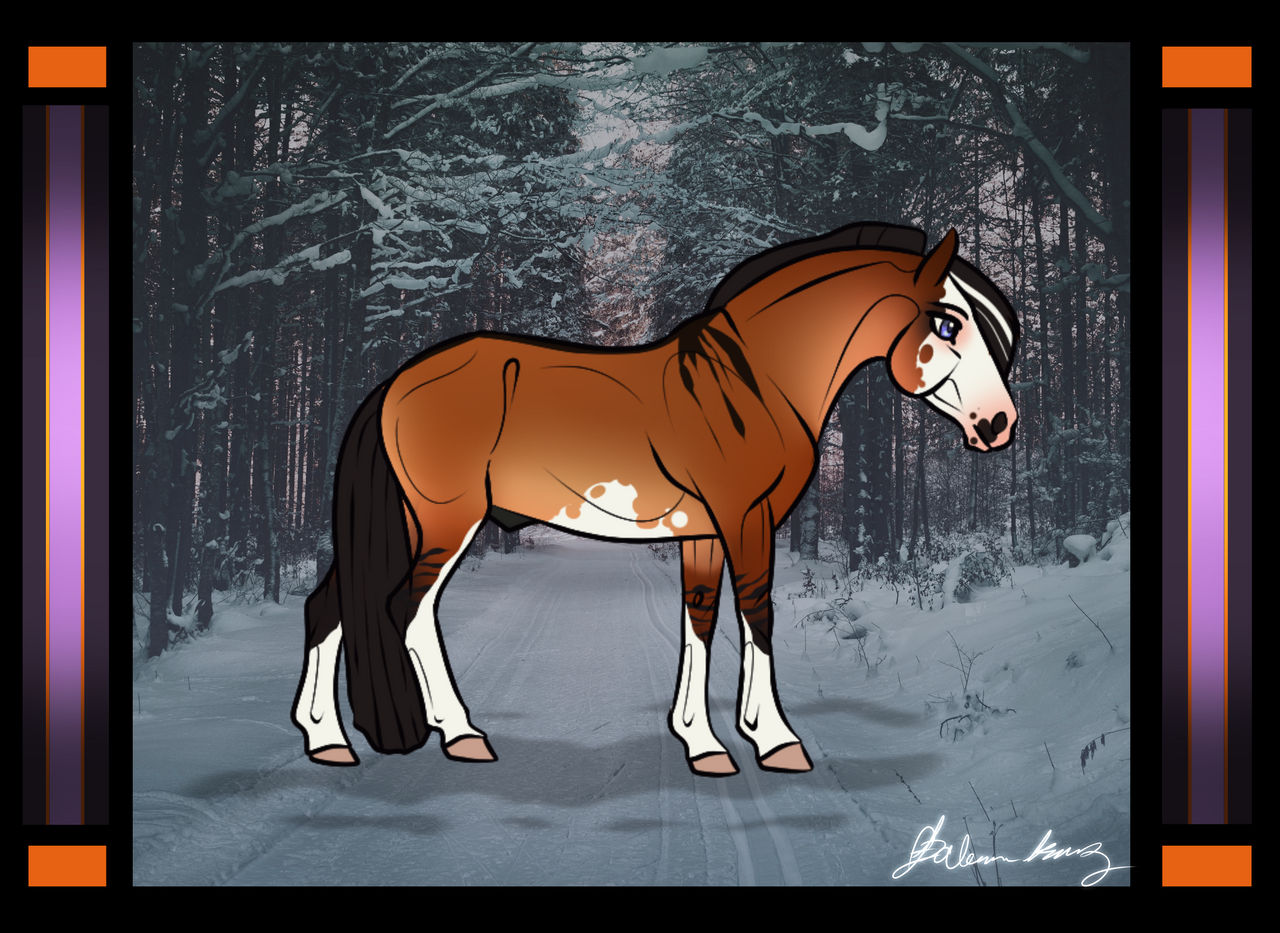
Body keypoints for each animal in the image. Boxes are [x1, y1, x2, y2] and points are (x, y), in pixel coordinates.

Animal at [292, 221, 1019, 776]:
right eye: (947, 323)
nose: (998, 424)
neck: (753, 383)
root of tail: (394, 384)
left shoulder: (703, 532)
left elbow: (699, 620)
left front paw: (705, 743)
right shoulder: (744, 520)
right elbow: (757, 616)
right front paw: (776, 740)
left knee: (330, 604)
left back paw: (327, 739)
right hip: (443, 523)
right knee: (407, 611)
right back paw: (461, 735)